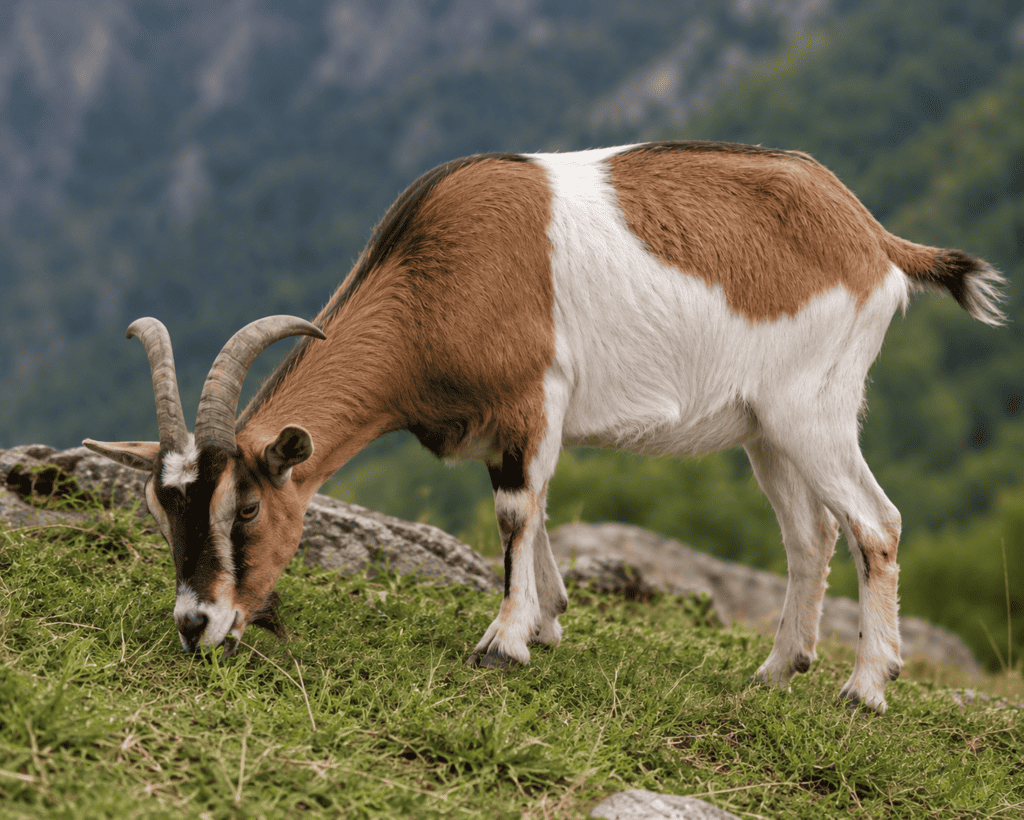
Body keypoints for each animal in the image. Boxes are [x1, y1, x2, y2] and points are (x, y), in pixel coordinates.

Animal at [85, 141, 1004, 713]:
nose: (196, 625)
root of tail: (872, 237)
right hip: (765, 430)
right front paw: (549, 618)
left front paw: (503, 642)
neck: (435, 273)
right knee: (811, 535)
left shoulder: (533, 399)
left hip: (812, 409)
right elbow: (535, 512)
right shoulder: (506, 427)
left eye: (244, 508)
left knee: (876, 523)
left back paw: (865, 689)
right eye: (161, 508)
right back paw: (776, 672)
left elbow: (515, 513)